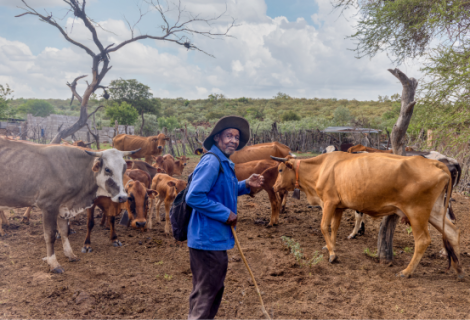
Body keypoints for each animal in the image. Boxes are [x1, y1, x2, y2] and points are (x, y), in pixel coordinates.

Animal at [0, 139, 139, 274]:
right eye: (107, 169)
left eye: (124, 168)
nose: (122, 197)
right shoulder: (48, 206)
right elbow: (50, 235)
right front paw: (54, 264)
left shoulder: (64, 207)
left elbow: (64, 232)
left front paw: (70, 254)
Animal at [272, 152, 462, 278]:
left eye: (280, 170)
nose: (274, 187)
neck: (321, 168)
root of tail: (435, 163)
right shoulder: (339, 207)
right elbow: (334, 227)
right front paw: (330, 246)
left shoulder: (329, 202)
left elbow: (324, 226)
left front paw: (332, 254)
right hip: (435, 211)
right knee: (452, 232)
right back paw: (458, 269)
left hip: (416, 213)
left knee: (423, 240)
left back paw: (406, 272)